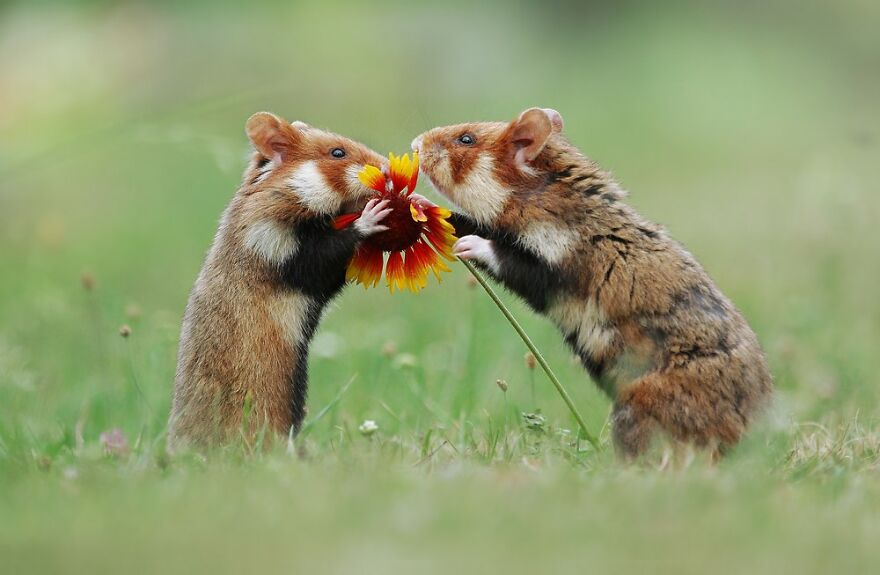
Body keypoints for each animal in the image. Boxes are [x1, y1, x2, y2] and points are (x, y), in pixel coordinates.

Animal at [412, 108, 772, 459]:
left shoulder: (556, 264)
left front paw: (466, 245)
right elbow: (462, 220)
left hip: (639, 408)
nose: (415, 143)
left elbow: (500, 253)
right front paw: (417, 202)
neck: (545, 195)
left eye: (466, 139)